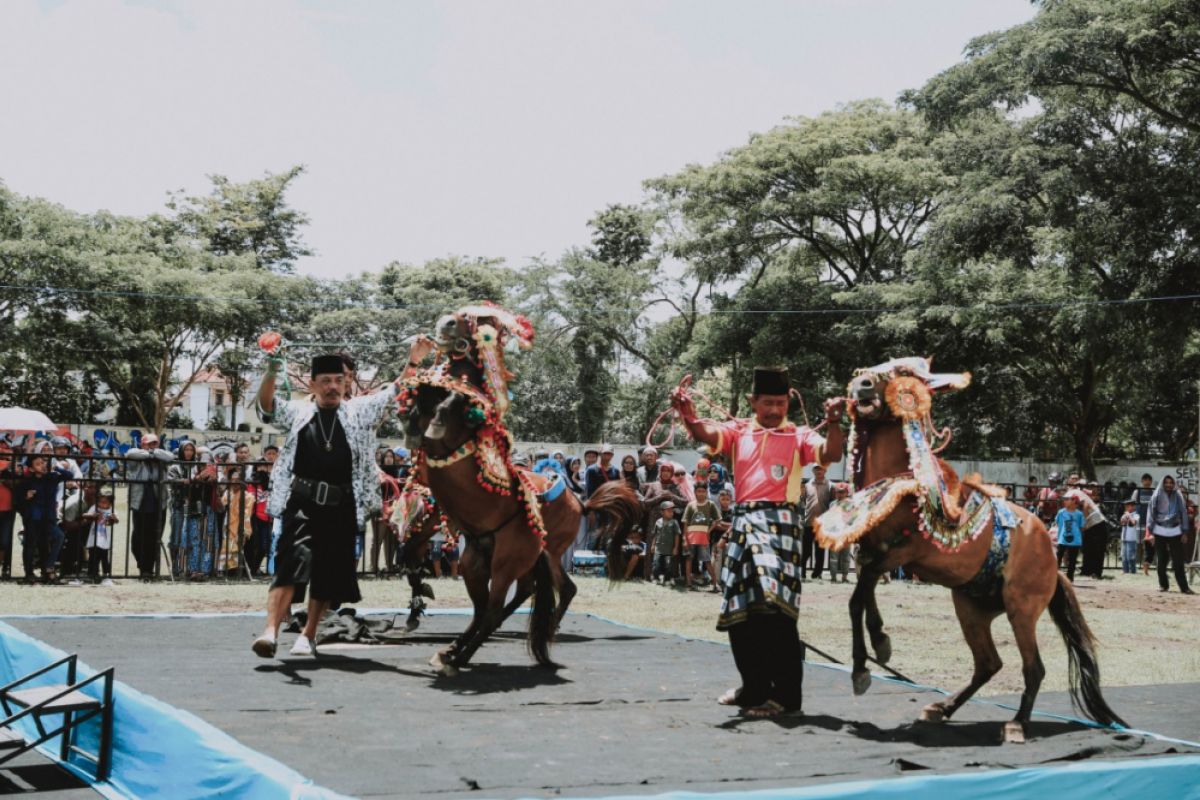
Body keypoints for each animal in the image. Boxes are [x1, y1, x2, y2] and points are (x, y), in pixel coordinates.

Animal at [398, 303, 643, 671]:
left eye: (472, 319)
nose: (446, 323)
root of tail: (580, 503)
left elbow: (452, 400)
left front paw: (436, 420)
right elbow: (421, 397)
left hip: (514, 559)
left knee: (502, 607)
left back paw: (464, 655)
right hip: (478, 561)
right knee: (494, 606)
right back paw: (455, 649)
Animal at [816, 357, 1123, 743]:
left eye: (903, 373)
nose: (862, 385)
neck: (903, 480)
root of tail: (1053, 563)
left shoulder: (903, 553)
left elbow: (862, 593)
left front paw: (871, 655)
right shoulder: (870, 554)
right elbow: (860, 598)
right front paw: (872, 651)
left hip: (1021, 608)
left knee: (1033, 667)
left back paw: (1017, 724)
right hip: (971, 607)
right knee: (989, 663)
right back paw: (942, 708)